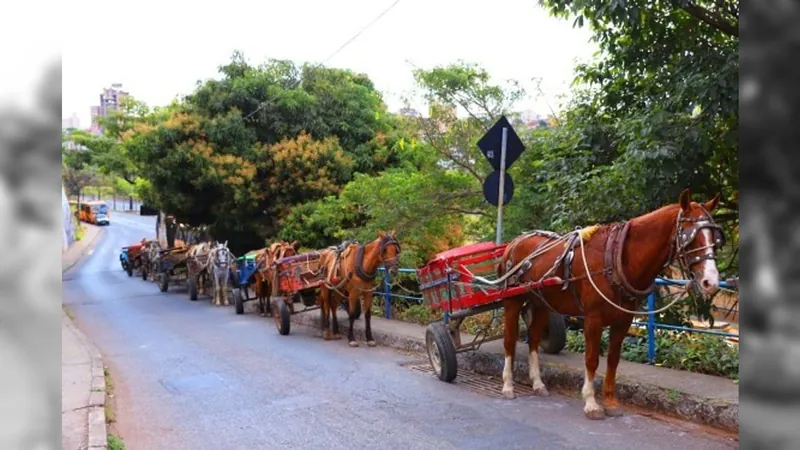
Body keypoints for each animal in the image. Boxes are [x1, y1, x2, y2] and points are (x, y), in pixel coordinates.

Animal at [496, 189, 720, 418]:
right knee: (510, 340)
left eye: (715, 237)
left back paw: (538, 384)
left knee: (533, 339)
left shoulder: (623, 321)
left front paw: (611, 402)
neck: (616, 257)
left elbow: (613, 360)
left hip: (541, 303)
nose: (711, 281)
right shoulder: (593, 319)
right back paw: (508, 385)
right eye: (689, 237)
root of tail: (513, 243)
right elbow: (592, 359)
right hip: (512, 300)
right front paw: (591, 402)